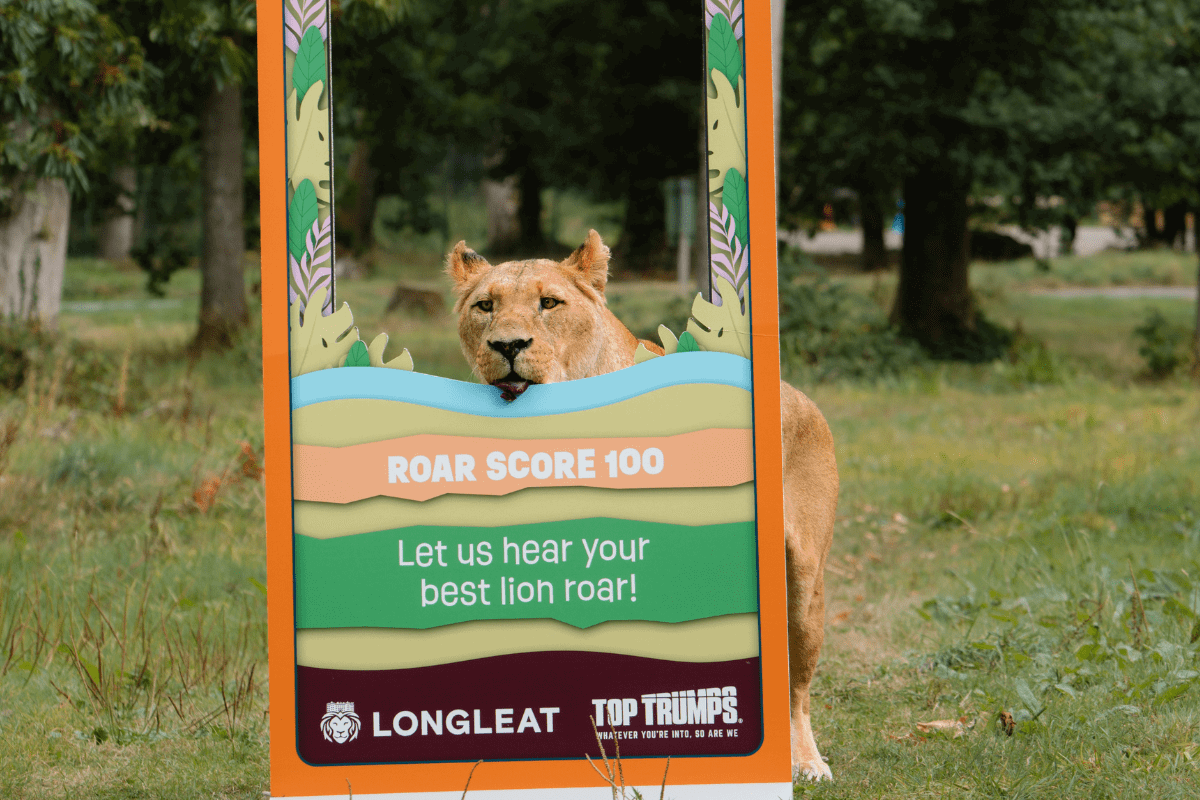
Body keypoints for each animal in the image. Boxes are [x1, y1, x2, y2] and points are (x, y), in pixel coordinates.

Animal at [446, 230, 838, 782]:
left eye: (549, 304)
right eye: (485, 306)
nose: (507, 346)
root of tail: (803, 399)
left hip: (803, 585)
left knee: (796, 687)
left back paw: (804, 761)